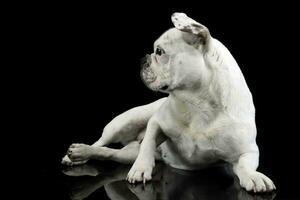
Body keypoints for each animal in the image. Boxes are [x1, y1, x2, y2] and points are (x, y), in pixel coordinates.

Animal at [62, 12, 276, 192]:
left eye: (159, 51)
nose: (143, 58)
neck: (198, 103)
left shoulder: (247, 151)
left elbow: (246, 165)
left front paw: (254, 177)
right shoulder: (156, 122)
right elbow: (148, 141)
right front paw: (141, 168)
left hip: (127, 153)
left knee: (109, 153)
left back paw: (84, 153)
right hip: (123, 122)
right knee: (102, 142)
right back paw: (77, 153)